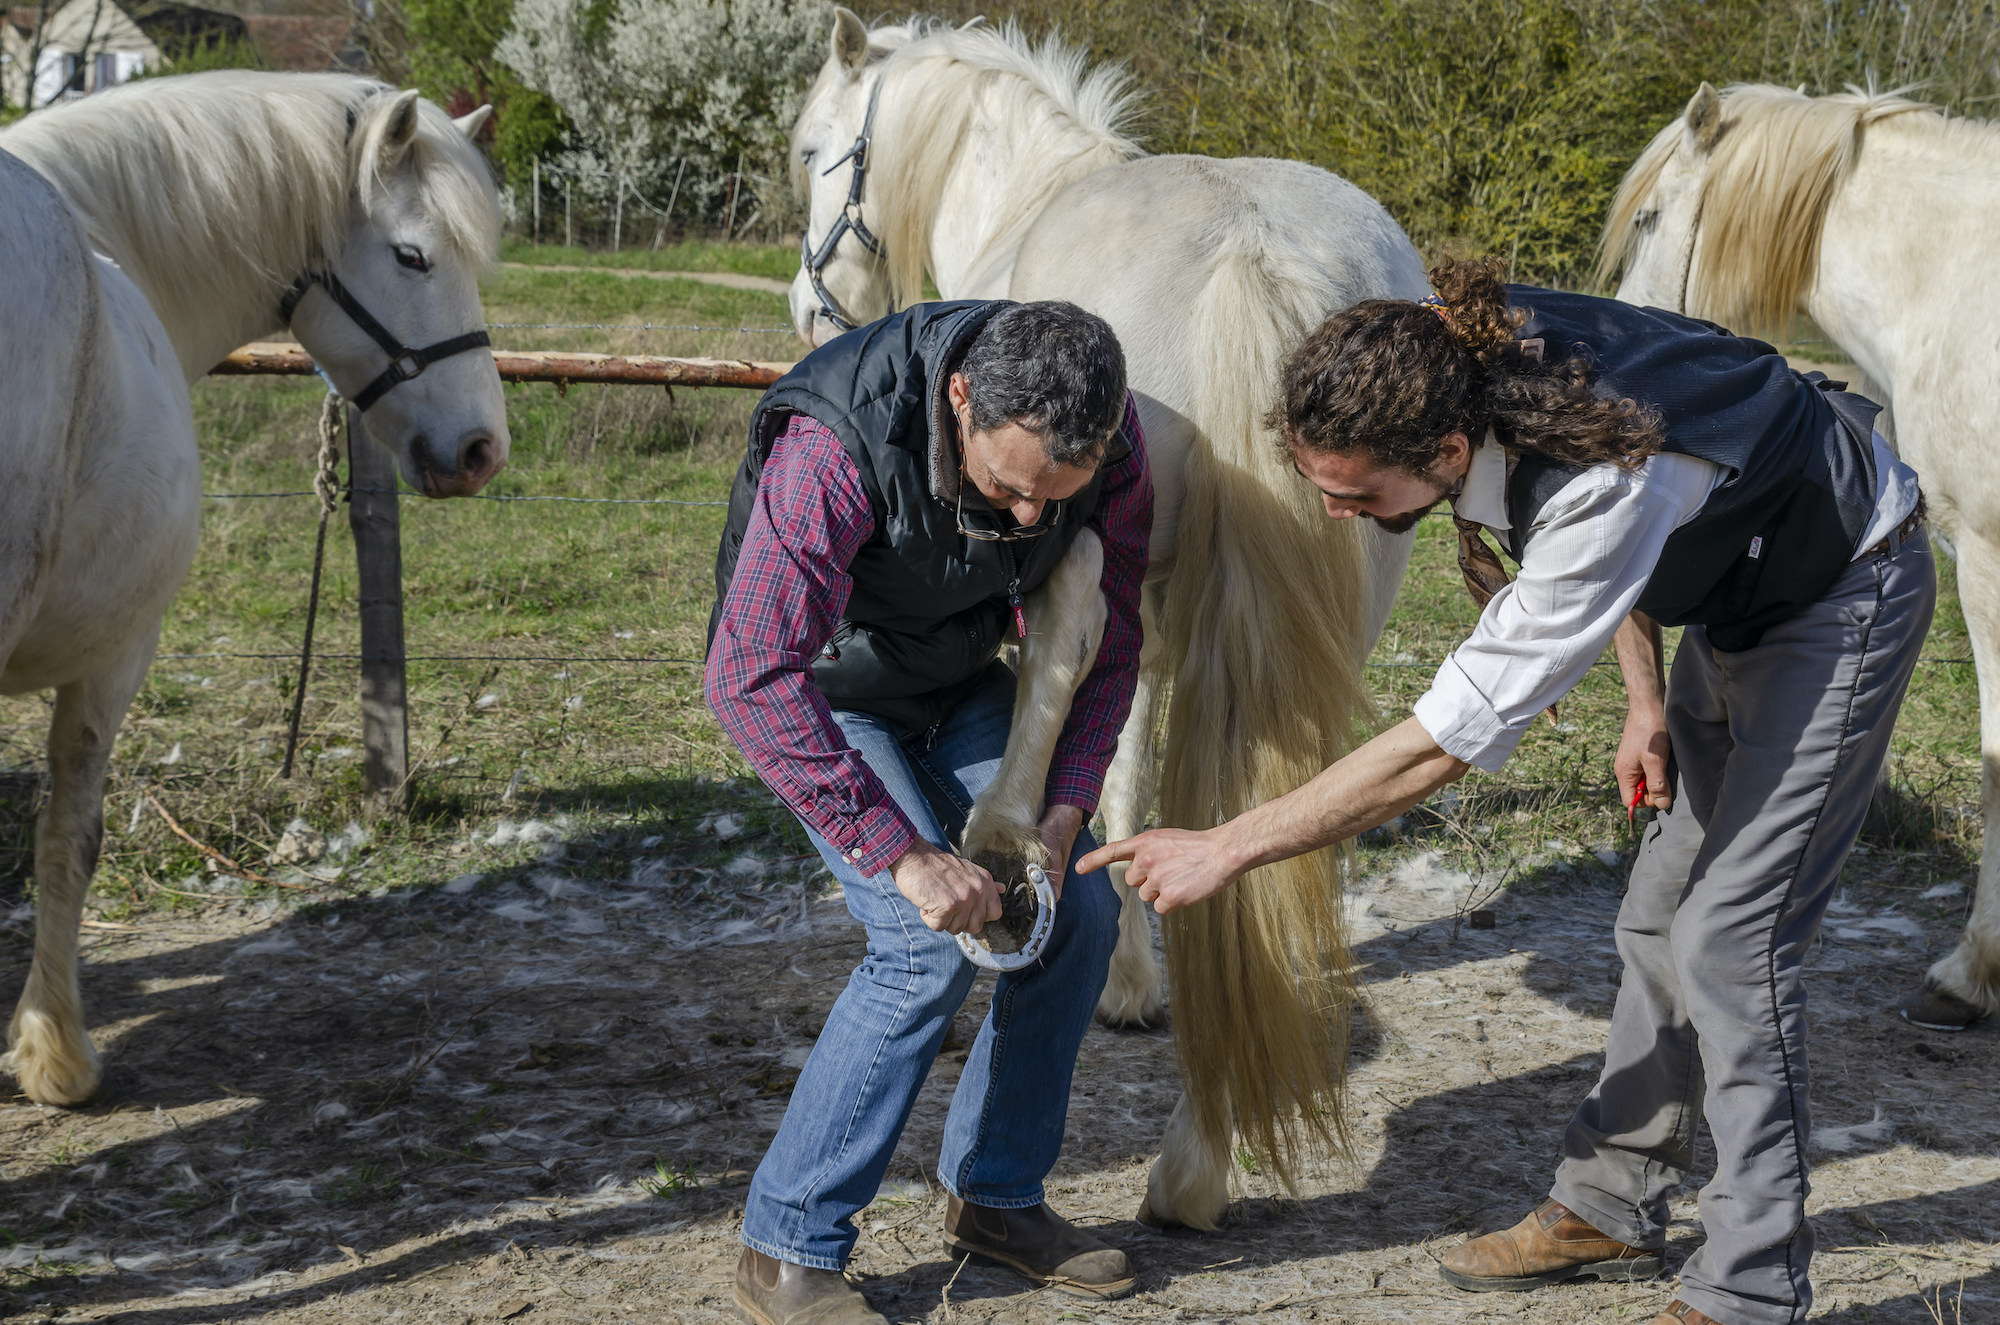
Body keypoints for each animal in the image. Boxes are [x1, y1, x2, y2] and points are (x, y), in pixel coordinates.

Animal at [788, 13, 1432, 1232]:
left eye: (809, 148)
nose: (808, 309)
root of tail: (1250, 253)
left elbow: (1108, 747)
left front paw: (1119, 976)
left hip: (1086, 538)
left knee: (1067, 646)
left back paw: (997, 835)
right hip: (1339, 614)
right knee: (1277, 821)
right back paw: (1196, 1164)